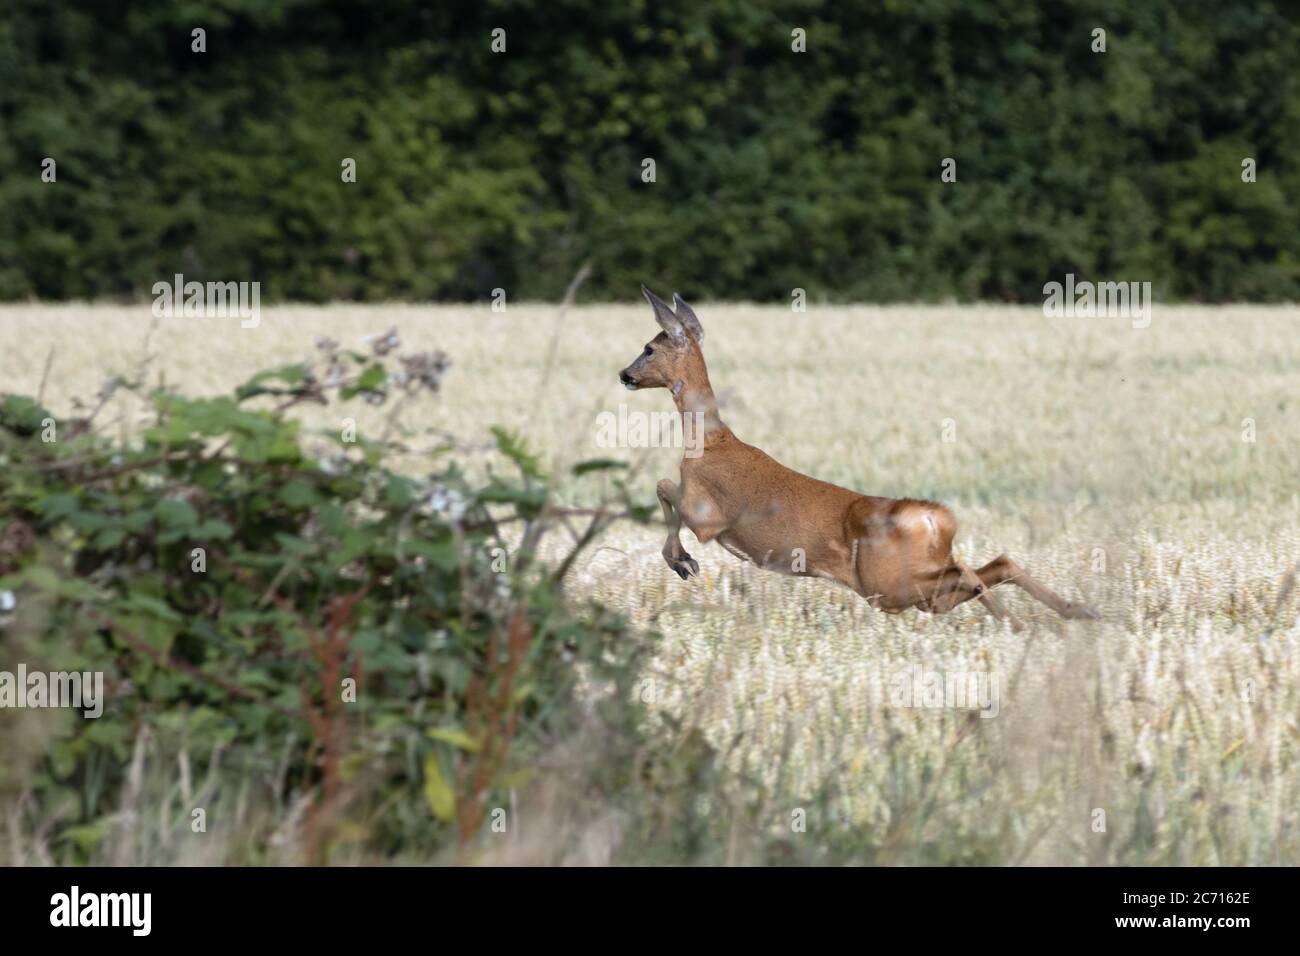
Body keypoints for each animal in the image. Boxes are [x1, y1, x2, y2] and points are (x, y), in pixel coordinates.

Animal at [618, 287, 1097, 632]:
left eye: (648, 348)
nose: (624, 374)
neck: (709, 439)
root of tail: (935, 519)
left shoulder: (710, 516)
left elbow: (665, 486)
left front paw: (681, 561)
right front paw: (681, 562)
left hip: (887, 585)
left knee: (971, 573)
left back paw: (1023, 623)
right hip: (915, 589)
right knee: (995, 564)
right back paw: (1076, 612)